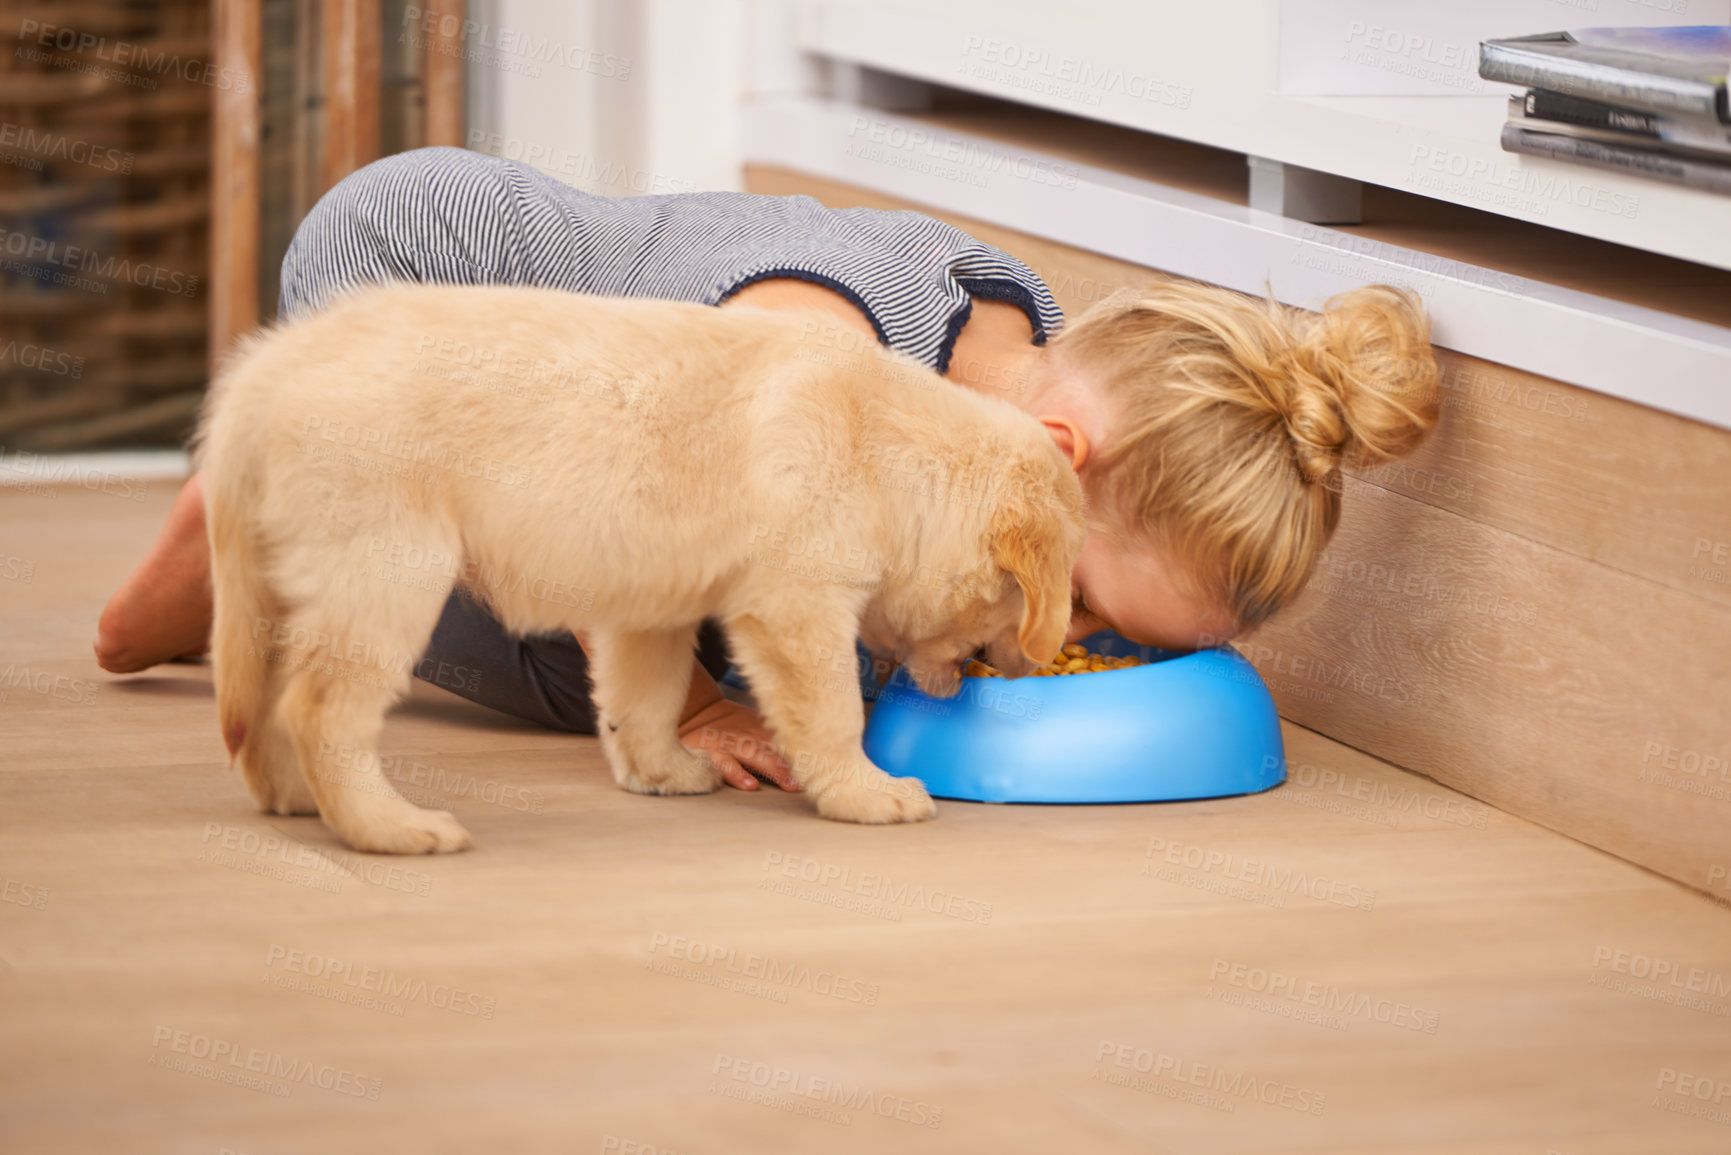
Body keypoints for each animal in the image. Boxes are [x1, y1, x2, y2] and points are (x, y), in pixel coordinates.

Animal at [199, 283, 1080, 855]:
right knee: (321, 708)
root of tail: (264, 372)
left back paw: (291, 795)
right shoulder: (796, 605)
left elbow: (642, 700)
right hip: (386, 570)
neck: (890, 449)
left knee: (268, 697)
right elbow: (831, 712)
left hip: (280, 582)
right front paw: (865, 791)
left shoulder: (650, 606)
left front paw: (661, 770)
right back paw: (387, 827)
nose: (1011, 673)